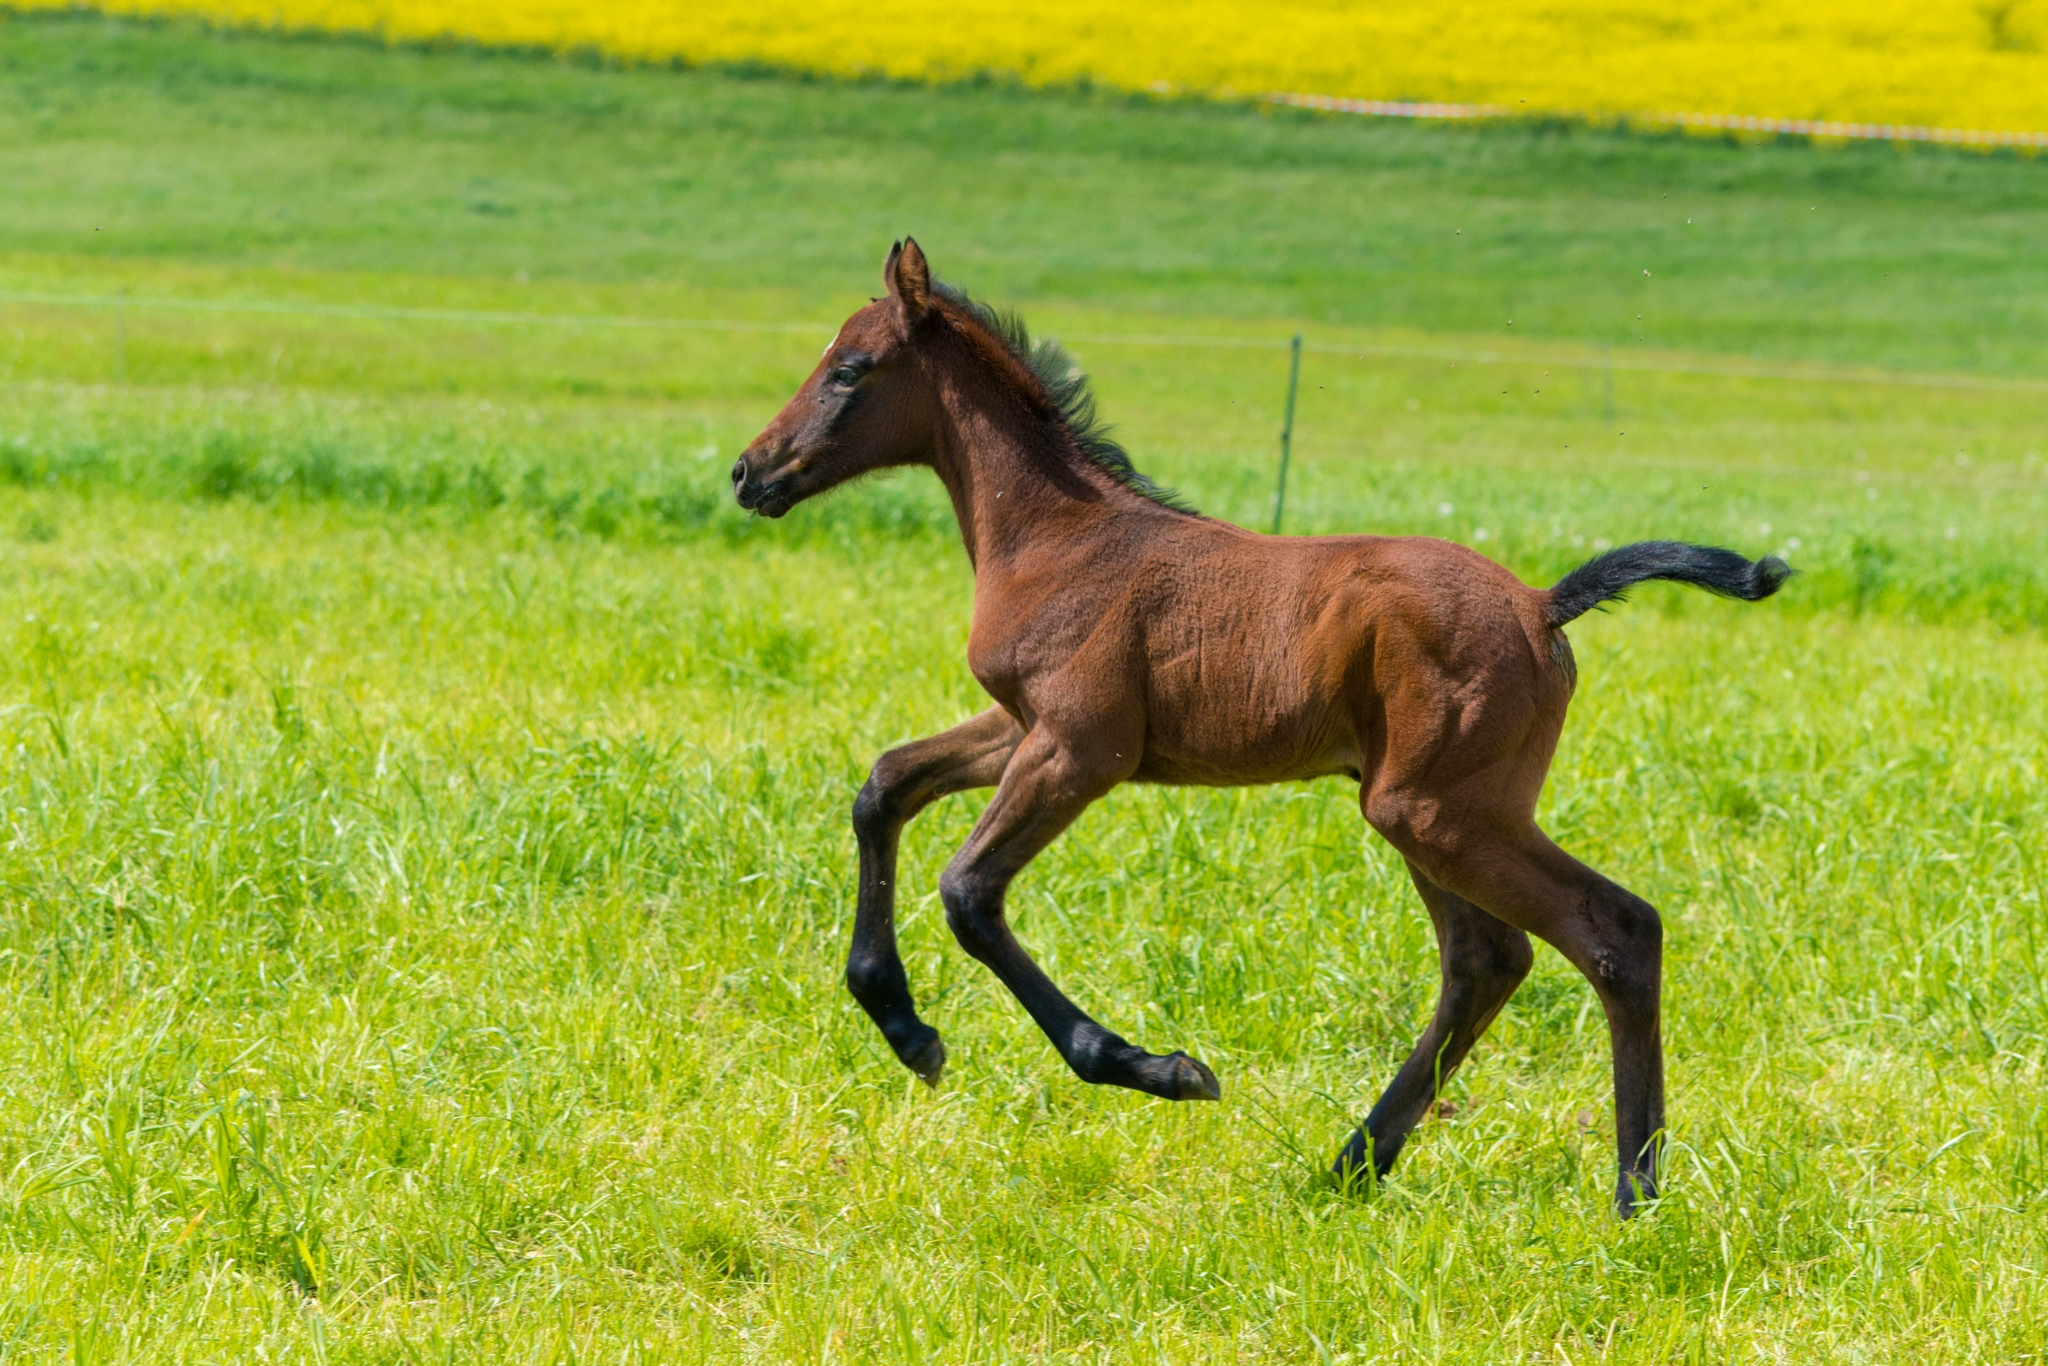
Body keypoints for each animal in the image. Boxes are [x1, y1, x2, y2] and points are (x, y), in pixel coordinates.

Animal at [732, 239, 1787, 1215]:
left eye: (849, 369)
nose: (750, 472)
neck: (1058, 538)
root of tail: (1541, 605)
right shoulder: (1020, 723)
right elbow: (884, 785)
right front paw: (904, 1026)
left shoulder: (1079, 748)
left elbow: (968, 892)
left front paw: (1157, 1070)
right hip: (1424, 810)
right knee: (1487, 960)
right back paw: (1355, 1161)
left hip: (1440, 812)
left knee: (1615, 932)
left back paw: (1633, 1191)